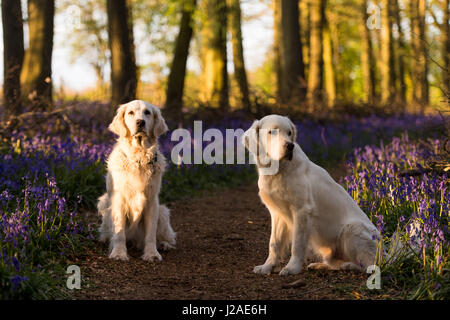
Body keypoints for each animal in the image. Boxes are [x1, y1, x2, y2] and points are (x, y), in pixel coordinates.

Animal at [97, 100, 177, 262]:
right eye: (130, 113)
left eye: (147, 113)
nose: (140, 122)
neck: (138, 158)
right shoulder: (119, 199)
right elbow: (119, 231)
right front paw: (119, 253)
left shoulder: (152, 201)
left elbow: (151, 234)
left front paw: (152, 253)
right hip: (103, 202)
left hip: (163, 212)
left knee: (169, 237)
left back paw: (164, 244)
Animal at [243, 115, 380, 276]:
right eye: (272, 132)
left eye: (289, 133)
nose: (290, 146)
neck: (278, 170)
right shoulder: (277, 213)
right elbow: (274, 243)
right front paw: (266, 266)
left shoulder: (302, 211)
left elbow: (297, 244)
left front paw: (292, 268)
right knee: (335, 262)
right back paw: (321, 265)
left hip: (352, 228)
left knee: (370, 266)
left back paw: (349, 266)